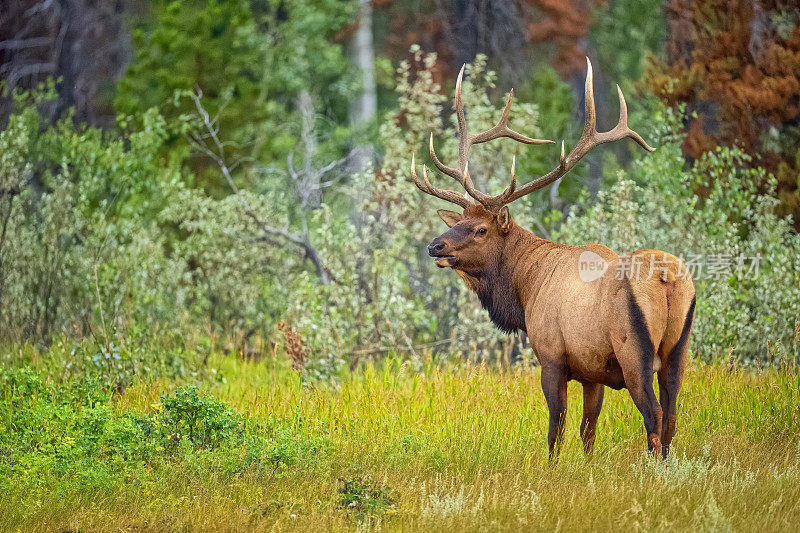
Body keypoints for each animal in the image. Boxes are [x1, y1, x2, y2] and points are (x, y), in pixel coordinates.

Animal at [412, 59, 692, 458]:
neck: (526, 287)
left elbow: (555, 428)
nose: (435, 246)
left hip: (634, 352)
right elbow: (588, 429)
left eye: (481, 229)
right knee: (671, 414)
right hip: (677, 352)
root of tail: (667, 277)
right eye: (460, 221)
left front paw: (551, 467)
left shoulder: (552, 357)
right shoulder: (593, 372)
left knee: (653, 414)